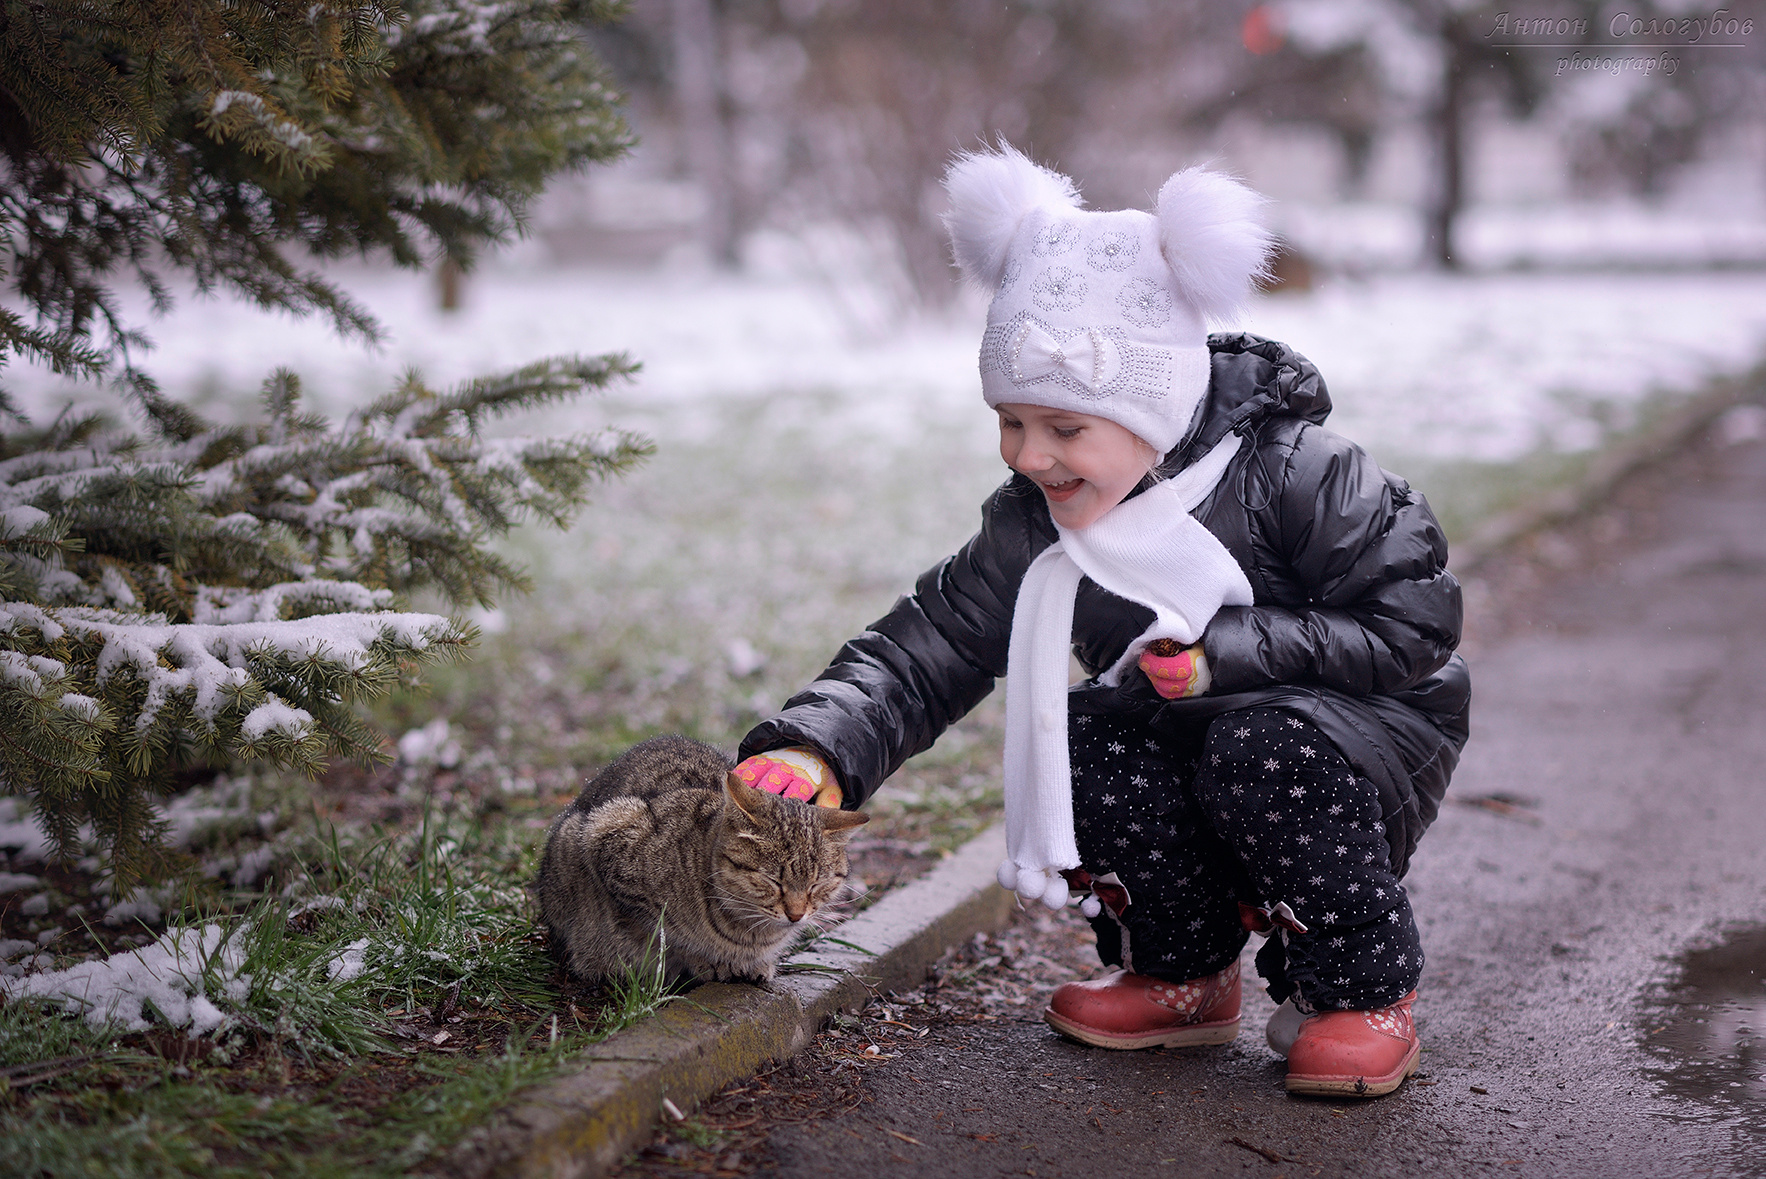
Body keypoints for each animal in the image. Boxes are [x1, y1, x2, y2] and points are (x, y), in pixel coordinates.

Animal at [536, 737, 868, 988]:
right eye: (772, 880)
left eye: (817, 884)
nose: (796, 916)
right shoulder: (611, 840)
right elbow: (670, 938)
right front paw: (707, 961)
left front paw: (758, 964)